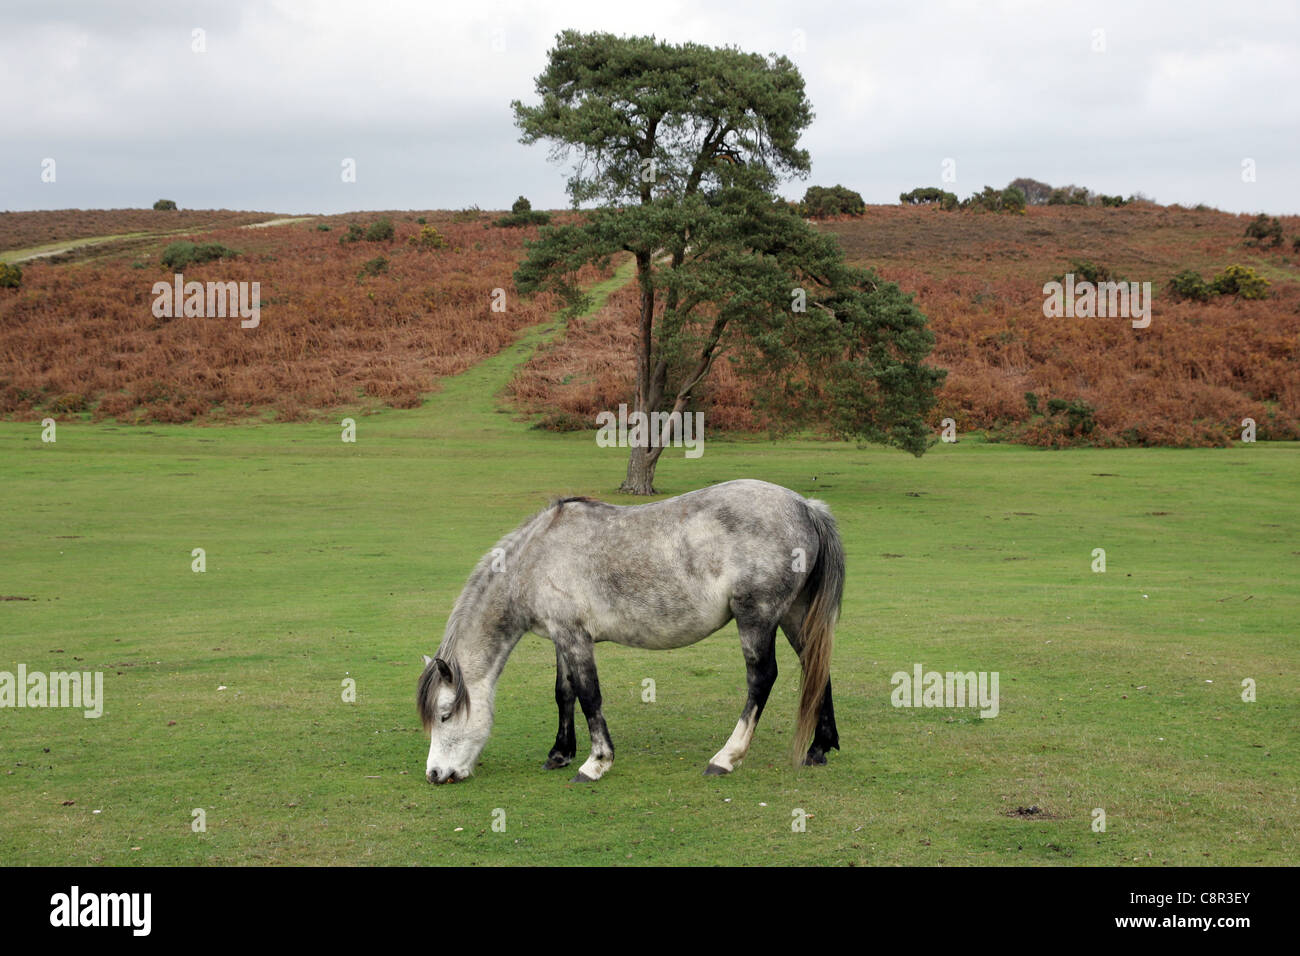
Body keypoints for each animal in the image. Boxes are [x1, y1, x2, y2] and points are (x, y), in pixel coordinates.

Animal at [416, 478, 842, 785]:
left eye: (444, 715)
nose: (435, 774)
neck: (536, 559)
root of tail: (806, 507)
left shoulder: (575, 638)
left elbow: (588, 695)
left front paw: (595, 763)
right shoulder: (562, 637)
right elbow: (564, 694)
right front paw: (559, 753)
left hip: (756, 618)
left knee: (761, 679)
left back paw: (726, 758)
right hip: (794, 615)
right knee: (815, 664)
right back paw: (819, 749)